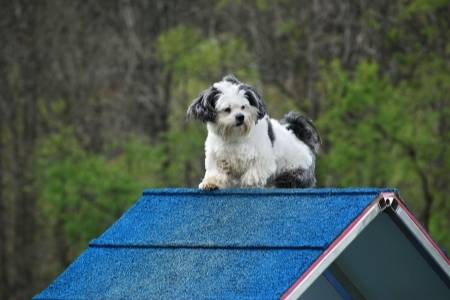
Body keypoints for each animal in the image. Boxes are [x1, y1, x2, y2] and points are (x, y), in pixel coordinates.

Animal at [186, 74, 320, 190]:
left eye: (243, 107)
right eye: (227, 109)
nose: (240, 117)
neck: (234, 135)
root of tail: (301, 138)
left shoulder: (262, 158)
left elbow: (254, 173)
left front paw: (248, 184)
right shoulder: (216, 156)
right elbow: (215, 172)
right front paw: (210, 183)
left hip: (296, 171)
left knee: (288, 180)